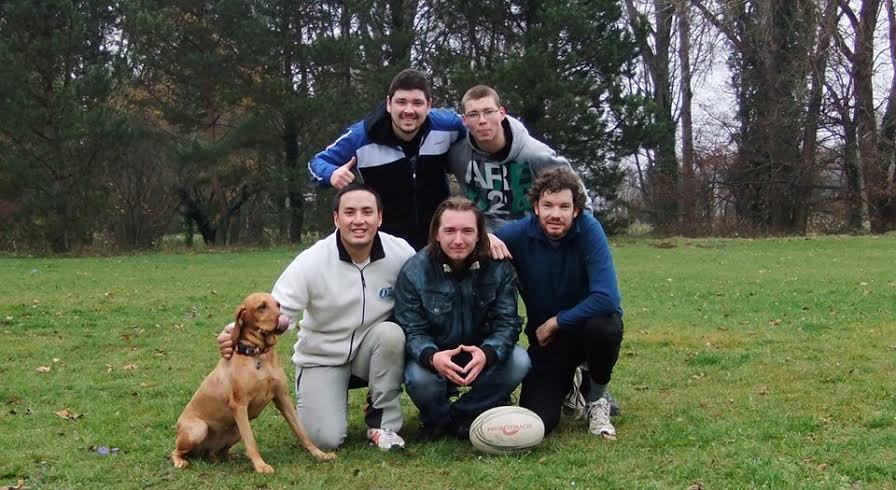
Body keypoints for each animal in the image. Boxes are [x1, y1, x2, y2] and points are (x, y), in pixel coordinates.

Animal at [171, 292, 335, 473]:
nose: (283, 318)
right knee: (175, 451)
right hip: (199, 429)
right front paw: (260, 465)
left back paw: (229, 456)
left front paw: (319, 454)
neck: (259, 355)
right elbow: (251, 441)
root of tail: (203, 452)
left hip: (234, 430)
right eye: (261, 307)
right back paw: (180, 461)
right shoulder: (239, 405)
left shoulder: (283, 398)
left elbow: (301, 431)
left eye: (278, 304)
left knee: (218, 453)